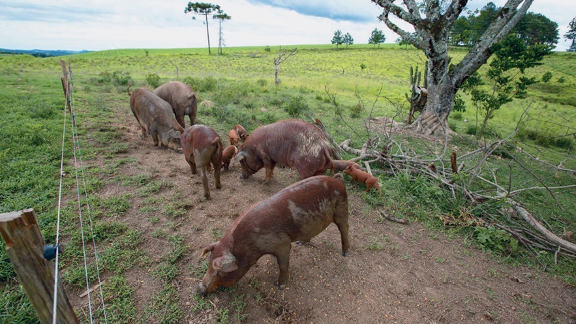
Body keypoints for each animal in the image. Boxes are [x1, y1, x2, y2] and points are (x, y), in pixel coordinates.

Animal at [196, 176, 348, 294]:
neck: (248, 244)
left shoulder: (283, 243)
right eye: (208, 263)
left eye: (219, 272)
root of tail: (339, 180)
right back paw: (301, 243)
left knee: (344, 229)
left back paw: (345, 253)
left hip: (342, 209)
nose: (200, 288)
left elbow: (283, 265)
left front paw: (280, 286)